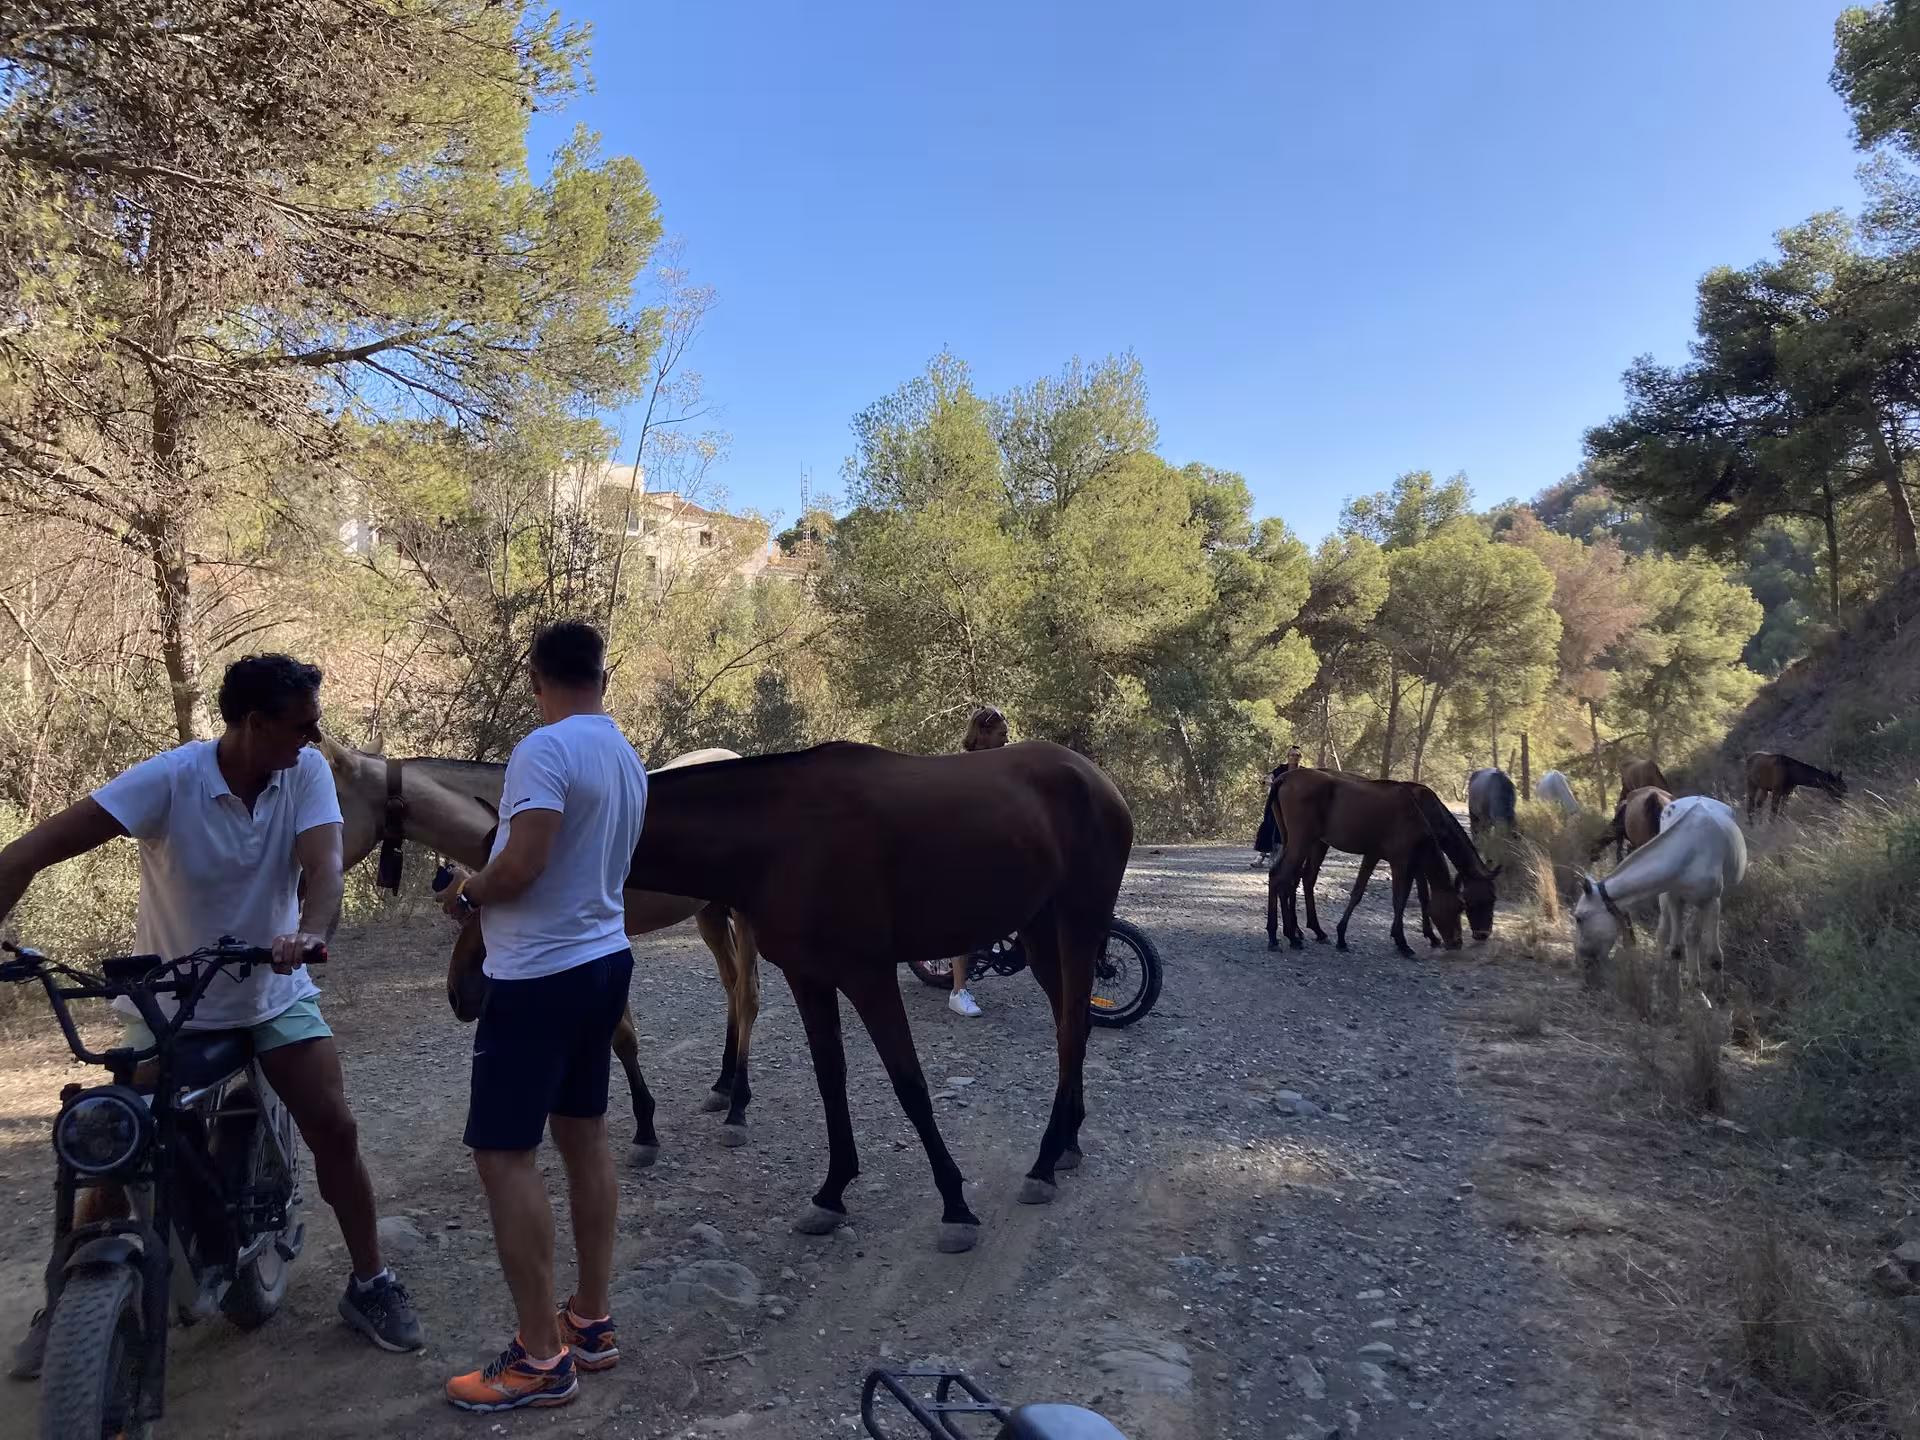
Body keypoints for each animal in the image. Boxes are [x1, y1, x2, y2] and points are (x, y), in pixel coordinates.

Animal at [319, 738, 763, 1159]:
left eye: (329, 798)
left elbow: (620, 1037)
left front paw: (644, 1130)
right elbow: (616, 1036)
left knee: (748, 995)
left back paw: (737, 1108)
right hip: (709, 912)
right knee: (731, 984)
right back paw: (722, 1086)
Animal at [624, 739, 1133, 1254]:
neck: (777, 835)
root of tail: (1093, 777)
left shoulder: (869, 975)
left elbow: (910, 1085)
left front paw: (955, 1207)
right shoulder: (807, 976)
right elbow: (831, 1079)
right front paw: (831, 1195)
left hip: (1079, 923)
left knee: (1070, 1032)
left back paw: (1044, 1164)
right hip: (1039, 930)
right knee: (1074, 1027)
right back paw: (1068, 1143)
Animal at [1265, 770, 1470, 957]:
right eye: (1460, 906)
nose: (1457, 942)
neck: (1412, 816)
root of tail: (1284, 777)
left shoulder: (1381, 857)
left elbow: (1362, 893)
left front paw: (1342, 937)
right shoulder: (1399, 862)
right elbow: (1398, 900)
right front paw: (1402, 942)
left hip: (1297, 842)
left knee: (1282, 877)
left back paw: (1289, 934)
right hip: (1302, 842)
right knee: (1281, 877)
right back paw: (1285, 937)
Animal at [1573, 795, 1746, 1000]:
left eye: (1579, 918)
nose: (1580, 962)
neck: (1688, 851)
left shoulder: (1711, 902)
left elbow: (1714, 955)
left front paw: (1718, 998)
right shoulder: (1674, 898)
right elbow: (1676, 947)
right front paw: (1677, 994)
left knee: (1692, 933)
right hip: (1668, 898)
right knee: (1669, 933)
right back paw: (1674, 978)